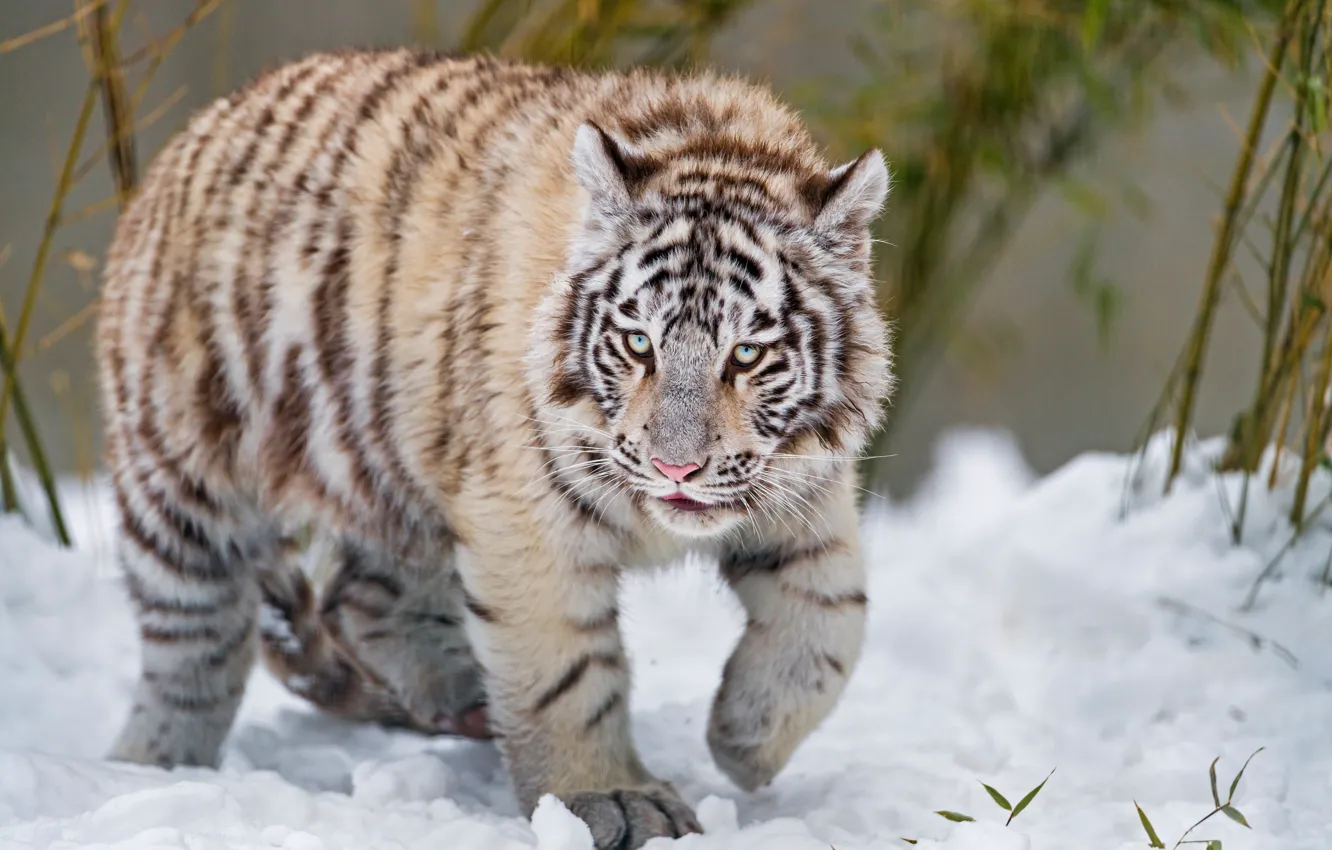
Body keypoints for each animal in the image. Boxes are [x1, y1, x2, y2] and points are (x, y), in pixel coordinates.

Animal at [96, 47, 892, 849]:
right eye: (639, 343)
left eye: (748, 353)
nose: (676, 467)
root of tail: (196, 131)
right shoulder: (527, 516)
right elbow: (568, 672)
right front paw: (611, 797)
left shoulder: (805, 494)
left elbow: (832, 621)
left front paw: (746, 740)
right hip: (184, 486)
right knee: (194, 646)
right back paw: (154, 772)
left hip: (398, 475)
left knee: (363, 600)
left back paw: (464, 700)